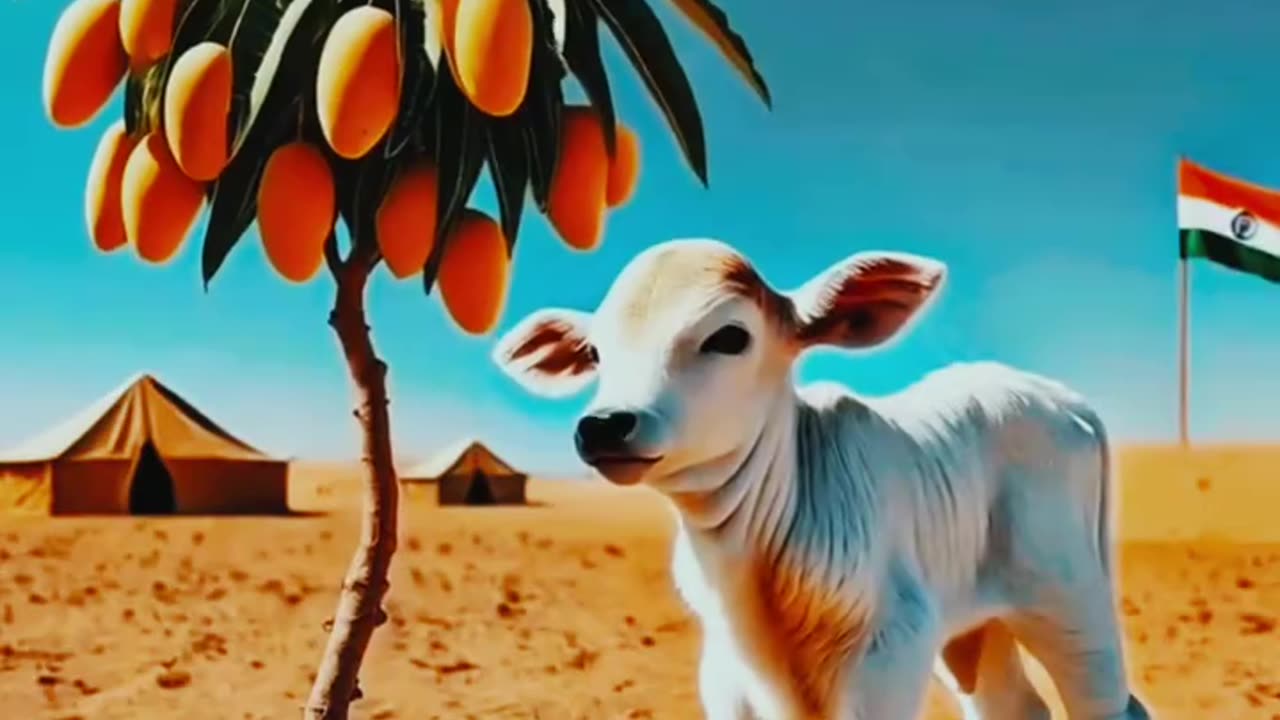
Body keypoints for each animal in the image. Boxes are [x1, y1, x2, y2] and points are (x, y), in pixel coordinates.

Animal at [492, 238, 1152, 720]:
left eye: (729, 336)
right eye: (595, 355)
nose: (605, 425)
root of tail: (1067, 401)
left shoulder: (889, 655)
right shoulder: (727, 675)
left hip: (1071, 605)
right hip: (974, 627)